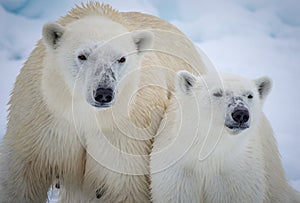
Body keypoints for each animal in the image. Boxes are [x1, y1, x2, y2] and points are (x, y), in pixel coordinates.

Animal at [0, 2, 206, 202]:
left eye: (121, 58)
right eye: (82, 55)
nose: (104, 93)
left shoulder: (126, 132)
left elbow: (125, 186)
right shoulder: (43, 119)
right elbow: (23, 177)